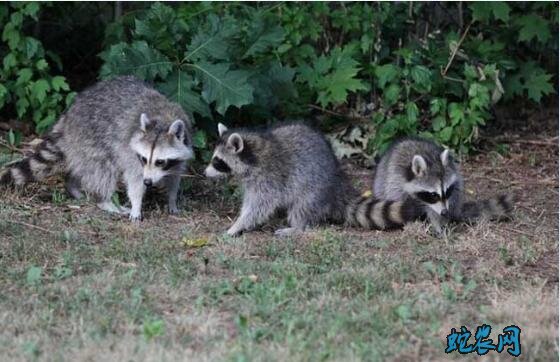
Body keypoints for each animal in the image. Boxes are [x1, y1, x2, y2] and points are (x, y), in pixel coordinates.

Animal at [0, 76, 194, 221]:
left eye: (160, 161)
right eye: (144, 159)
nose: (148, 182)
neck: (162, 120)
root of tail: (69, 115)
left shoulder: (183, 146)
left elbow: (175, 176)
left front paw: (172, 200)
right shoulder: (131, 153)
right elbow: (134, 179)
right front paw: (137, 204)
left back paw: (73, 186)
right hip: (91, 135)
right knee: (103, 169)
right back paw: (105, 201)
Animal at [202, 121, 420, 236]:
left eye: (217, 161)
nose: (204, 173)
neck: (254, 154)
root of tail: (337, 182)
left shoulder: (269, 178)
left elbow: (259, 207)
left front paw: (237, 225)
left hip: (313, 190)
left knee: (301, 208)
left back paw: (296, 228)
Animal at [372, 137, 512, 233]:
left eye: (447, 191)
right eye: (433, 195)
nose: (445, 212)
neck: (430, 161)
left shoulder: (452, 186)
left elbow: (437, 208)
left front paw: (439, 223)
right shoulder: (396, 180)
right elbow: (398, 199)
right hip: (383, 177)